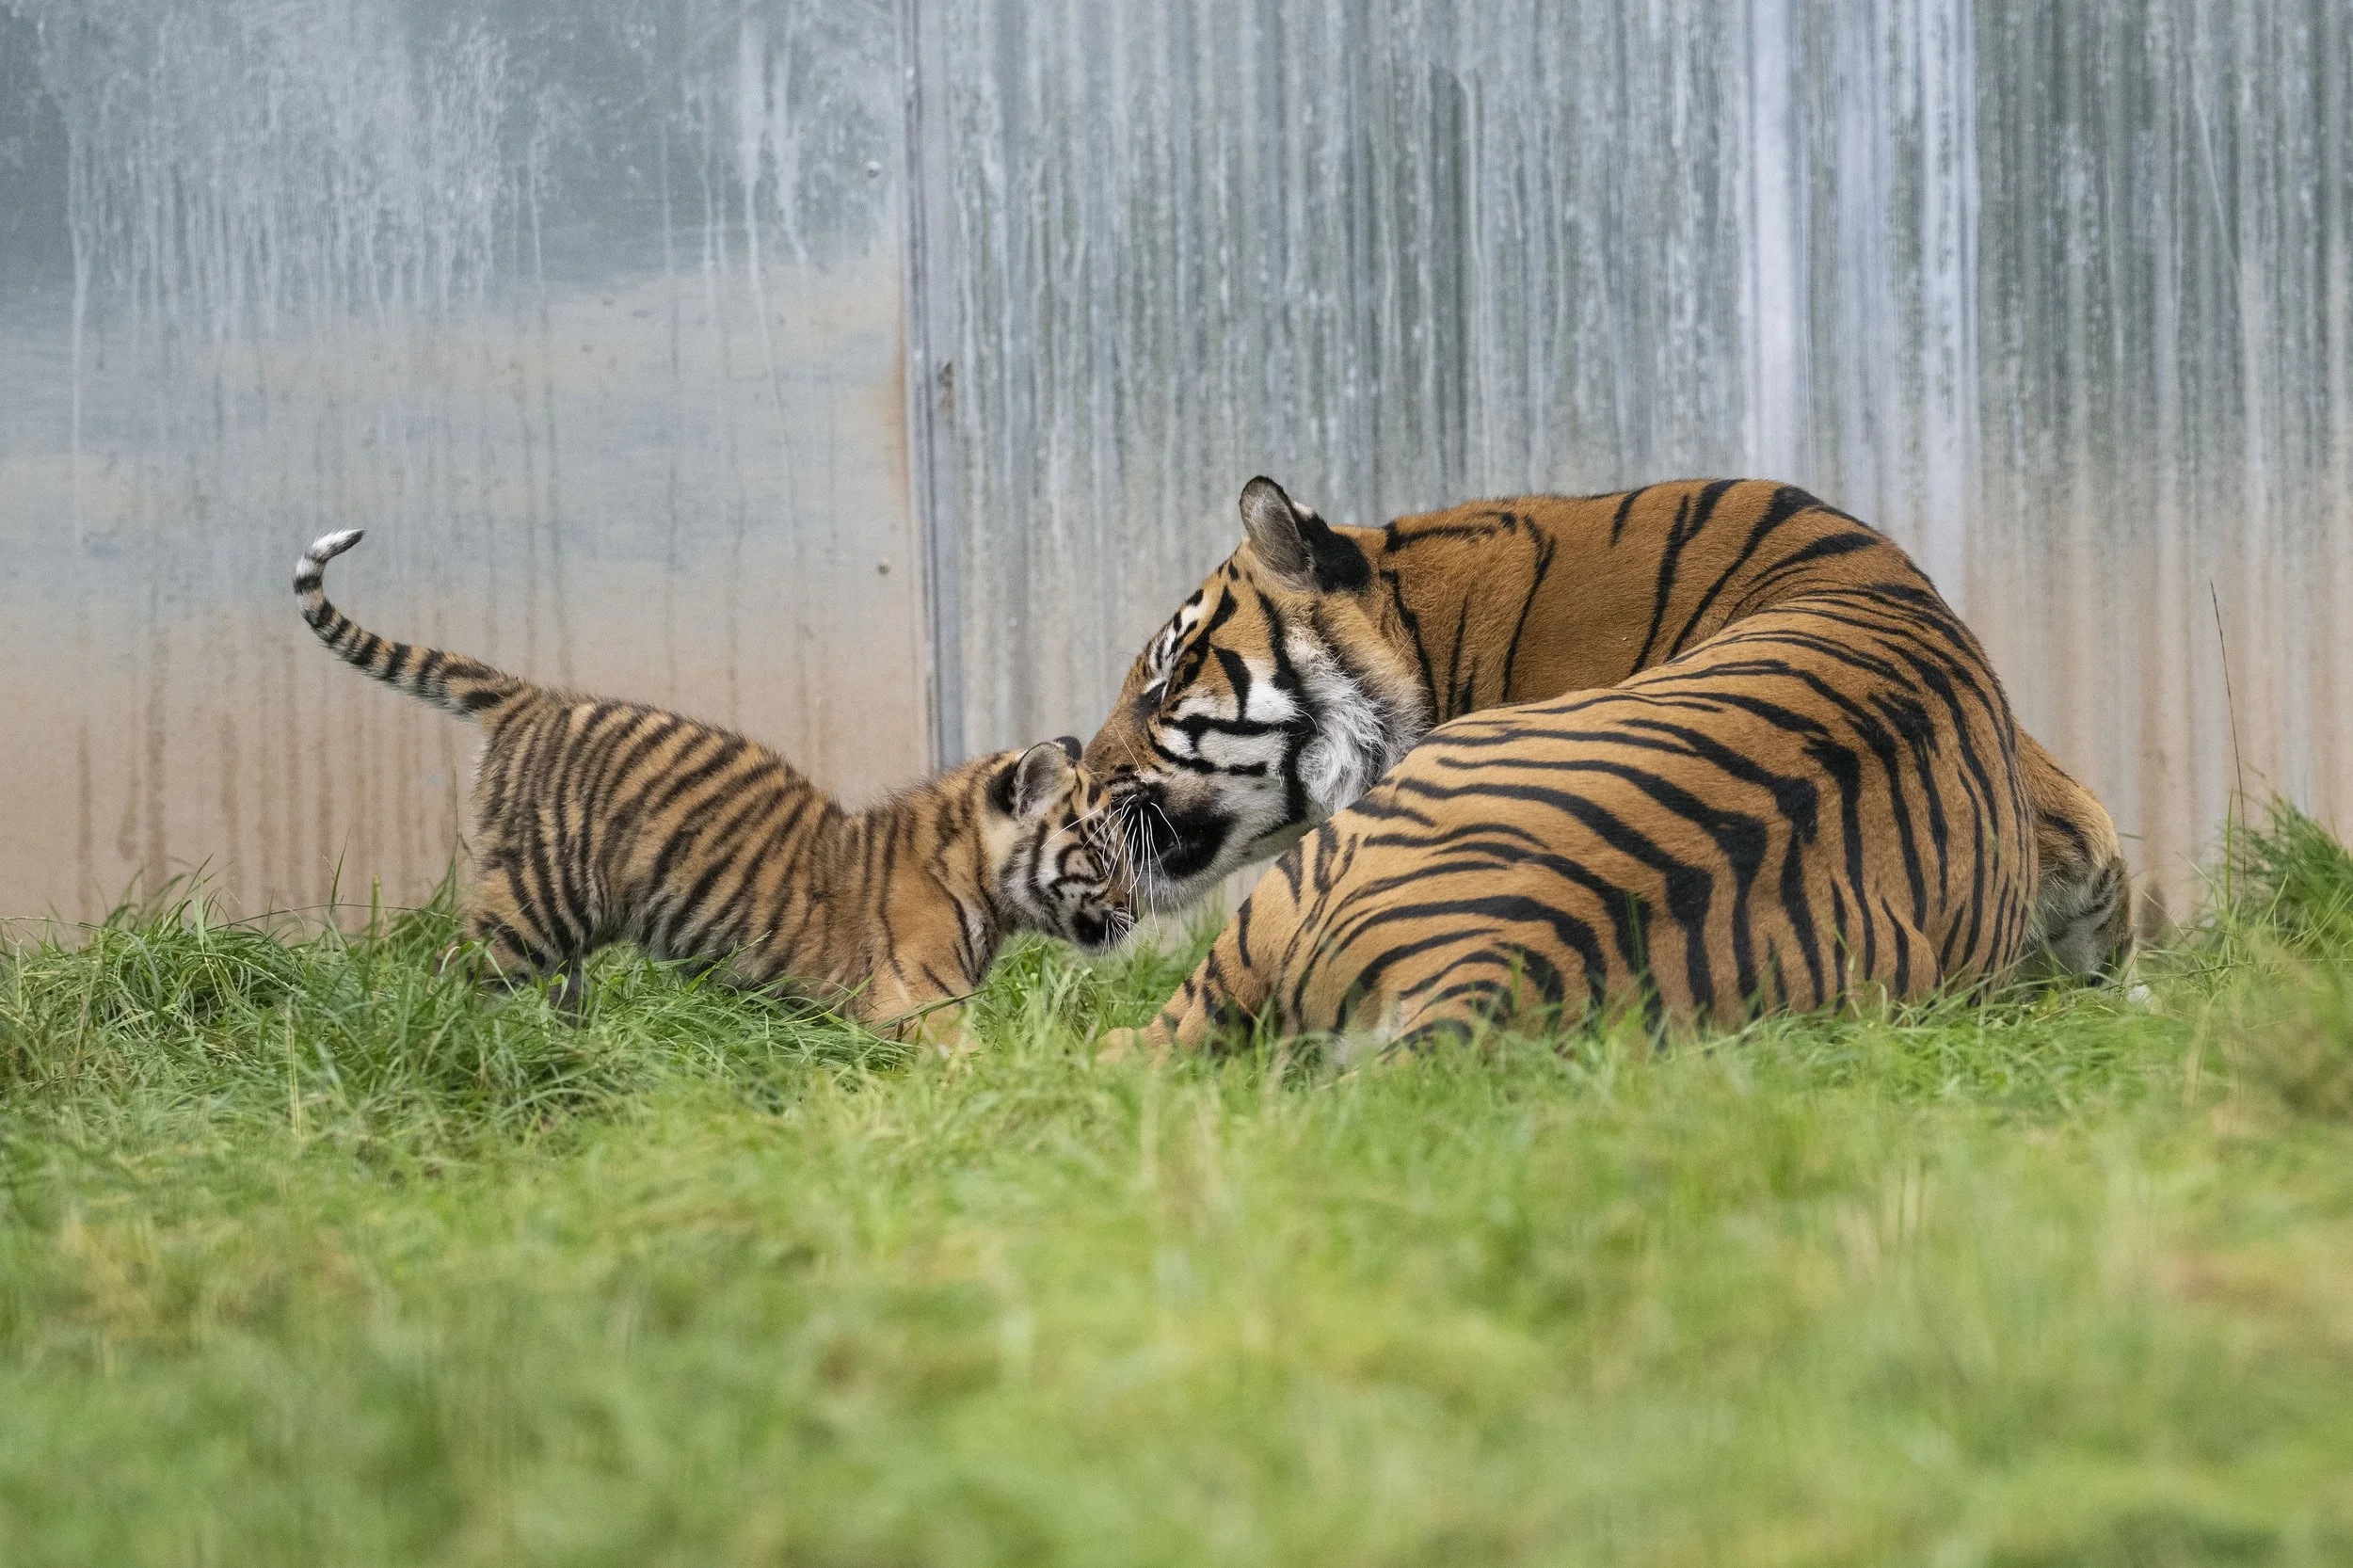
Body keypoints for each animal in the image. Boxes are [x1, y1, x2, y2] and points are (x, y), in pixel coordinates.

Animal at [295, 529, 1131, 1044]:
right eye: (1101, 853)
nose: (1133, 913)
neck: (982, 885)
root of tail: (532, 700)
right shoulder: (918, 1005)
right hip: (535, 902)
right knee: (453, 975)